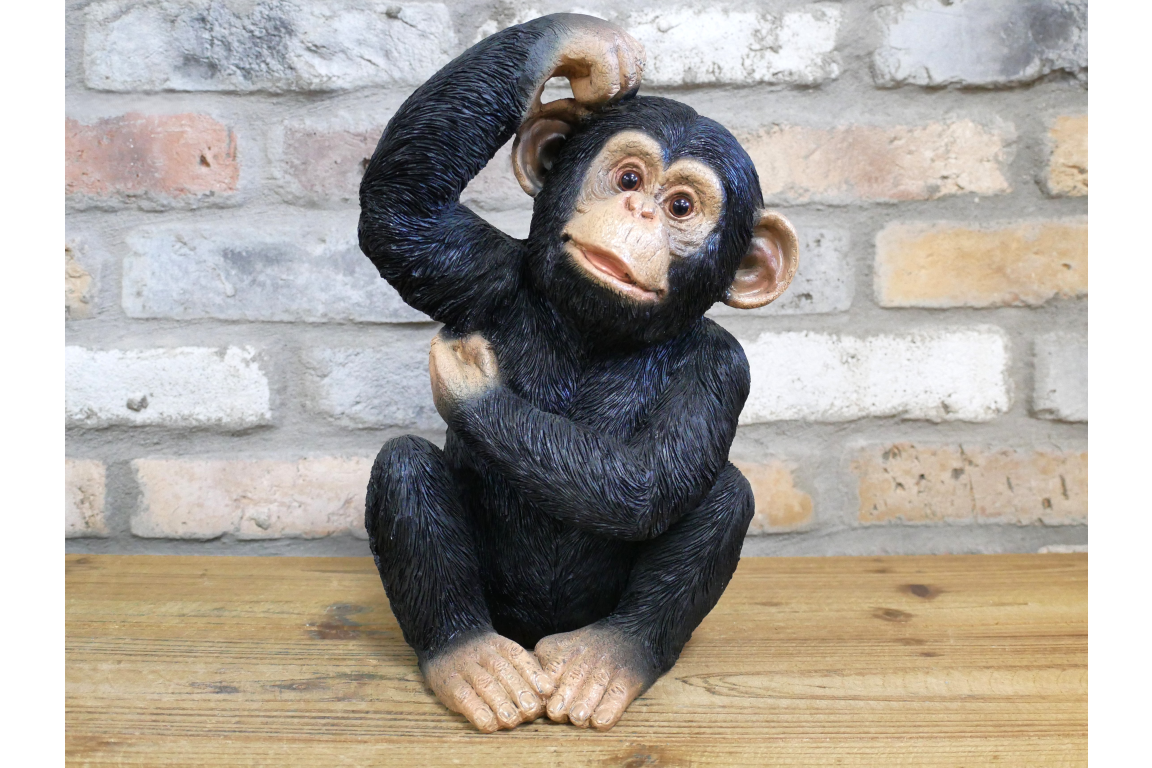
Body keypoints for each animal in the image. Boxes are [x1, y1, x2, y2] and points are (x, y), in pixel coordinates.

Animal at [359, 14, 798, 732]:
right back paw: (470, 658)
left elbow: (649, 480)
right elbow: (401, 213)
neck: (593, 332)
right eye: (627, 179)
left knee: (725, 494)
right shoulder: (485, 275)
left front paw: (474, 386)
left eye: (681, 207)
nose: (638, 214)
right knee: (403, 466)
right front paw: (587, 46)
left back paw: (609, 657)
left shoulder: (722, 366)